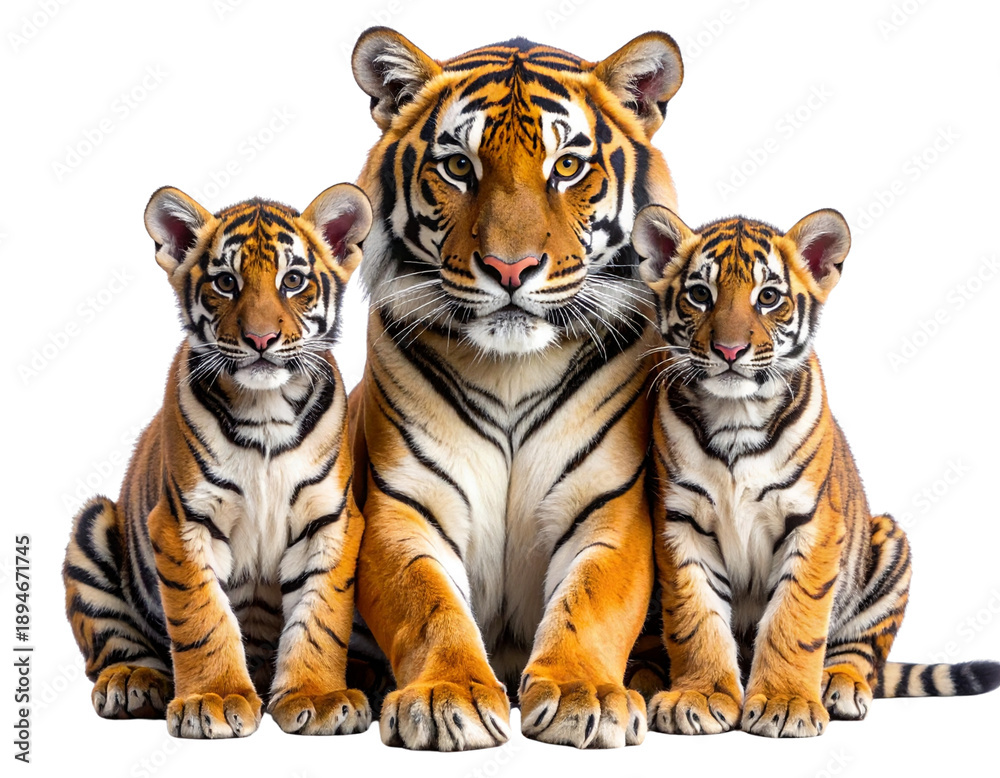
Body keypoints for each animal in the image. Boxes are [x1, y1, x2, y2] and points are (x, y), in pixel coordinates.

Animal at [62, 183, 375, 739]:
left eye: (293, 281)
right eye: (226, 283)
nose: (260, 340)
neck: (267, 411)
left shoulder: (330, 519)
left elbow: (321, 615)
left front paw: (318, 698)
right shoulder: (185, 520)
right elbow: (203, 617)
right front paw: (215, 698)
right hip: (93, 524)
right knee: (109, 647)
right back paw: (133, 682)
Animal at [345, 28, 684, 749]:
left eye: (567, 167)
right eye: (457, 167)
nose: (509, 268)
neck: (510, 369)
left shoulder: (608, 508)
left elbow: (591, 600)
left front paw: (584, 694)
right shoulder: (405, 508)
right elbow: (429, 604)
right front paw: (446, 695)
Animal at [630, 203, 1000, 737]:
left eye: (768, 297)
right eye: (700, 294)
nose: (729, 351)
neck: (735, 417)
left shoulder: (812, 523)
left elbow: (795, 618)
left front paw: (786, 703)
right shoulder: (680, 523)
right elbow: (696, 618)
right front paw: (698, 696)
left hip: (889, 544)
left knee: (860, 653)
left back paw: (838, 687)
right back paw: (645, 676)